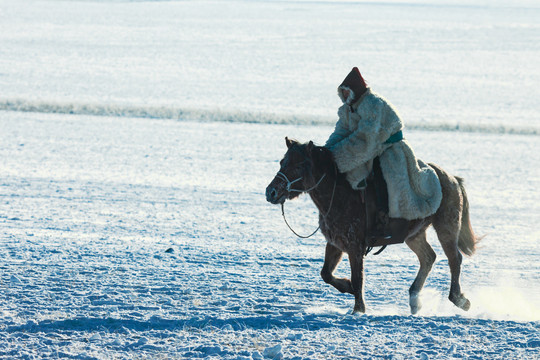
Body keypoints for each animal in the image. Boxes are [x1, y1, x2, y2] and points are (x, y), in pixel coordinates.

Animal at [264, 136, 478, 314]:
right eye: (282, 162)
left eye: (299, 165)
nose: (271, 192)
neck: (338, 194)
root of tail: (452, 179)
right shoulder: (335, 243)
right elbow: (326, 273)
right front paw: (347, 287)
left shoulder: (355, 246)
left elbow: (358, 277)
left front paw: (358, 309)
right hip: (414, 234)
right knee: (428, 258)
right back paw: (415, 300)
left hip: (447, 227)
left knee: (454, 259)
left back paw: (459, 299)